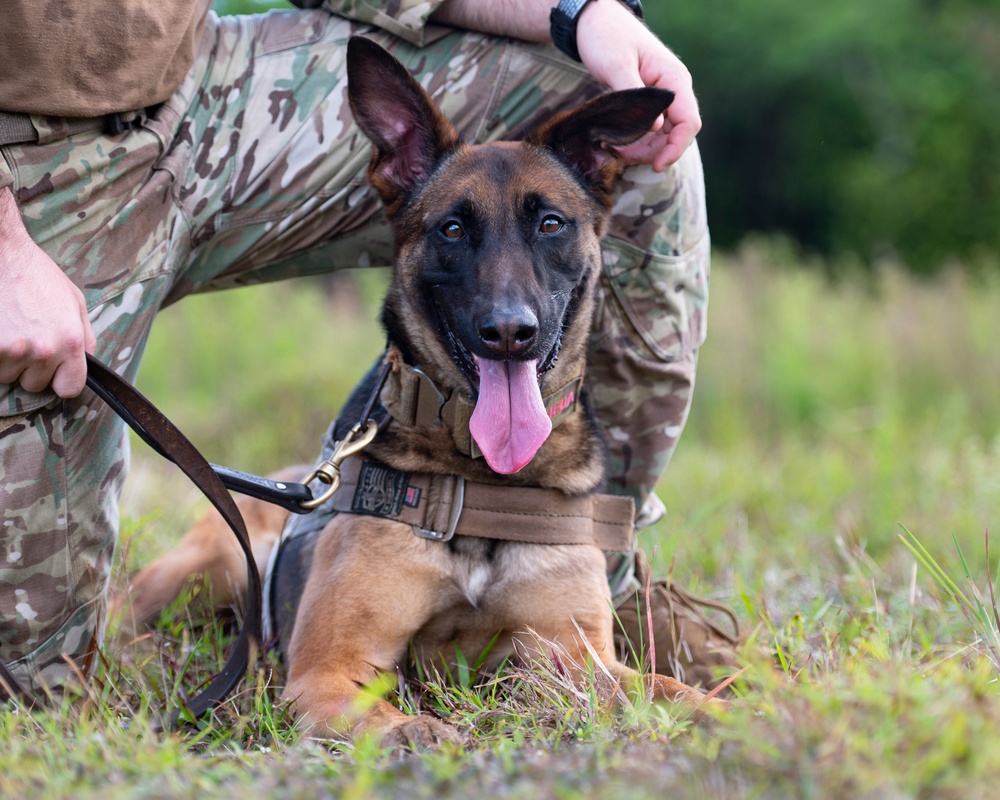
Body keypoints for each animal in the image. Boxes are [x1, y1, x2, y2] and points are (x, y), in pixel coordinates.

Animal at [121, 36, 720, 752]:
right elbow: (406, 728)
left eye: (551, 224)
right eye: (452, 230)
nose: (509, 333)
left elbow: (672, 693)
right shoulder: (328, 672)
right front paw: (433, 737)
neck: (477, 475)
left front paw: (750, 712)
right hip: (207, 570)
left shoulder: (579, 660)